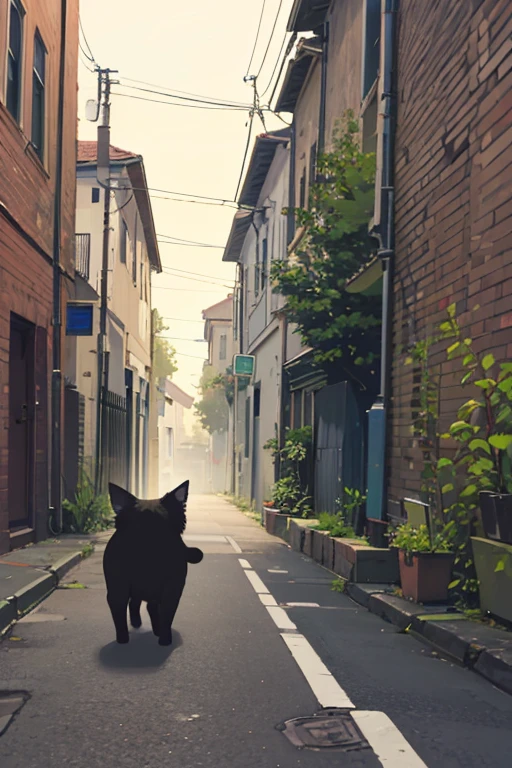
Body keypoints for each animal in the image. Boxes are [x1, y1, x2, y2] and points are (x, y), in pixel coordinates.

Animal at [103, 484, 203, 644]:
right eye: (136, 524)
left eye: (162, 524)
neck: (148, 558)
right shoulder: (117, 590)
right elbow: (119, 618)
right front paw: (122, 640)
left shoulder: (172, 590)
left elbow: (166, 616)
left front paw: (164, 639)